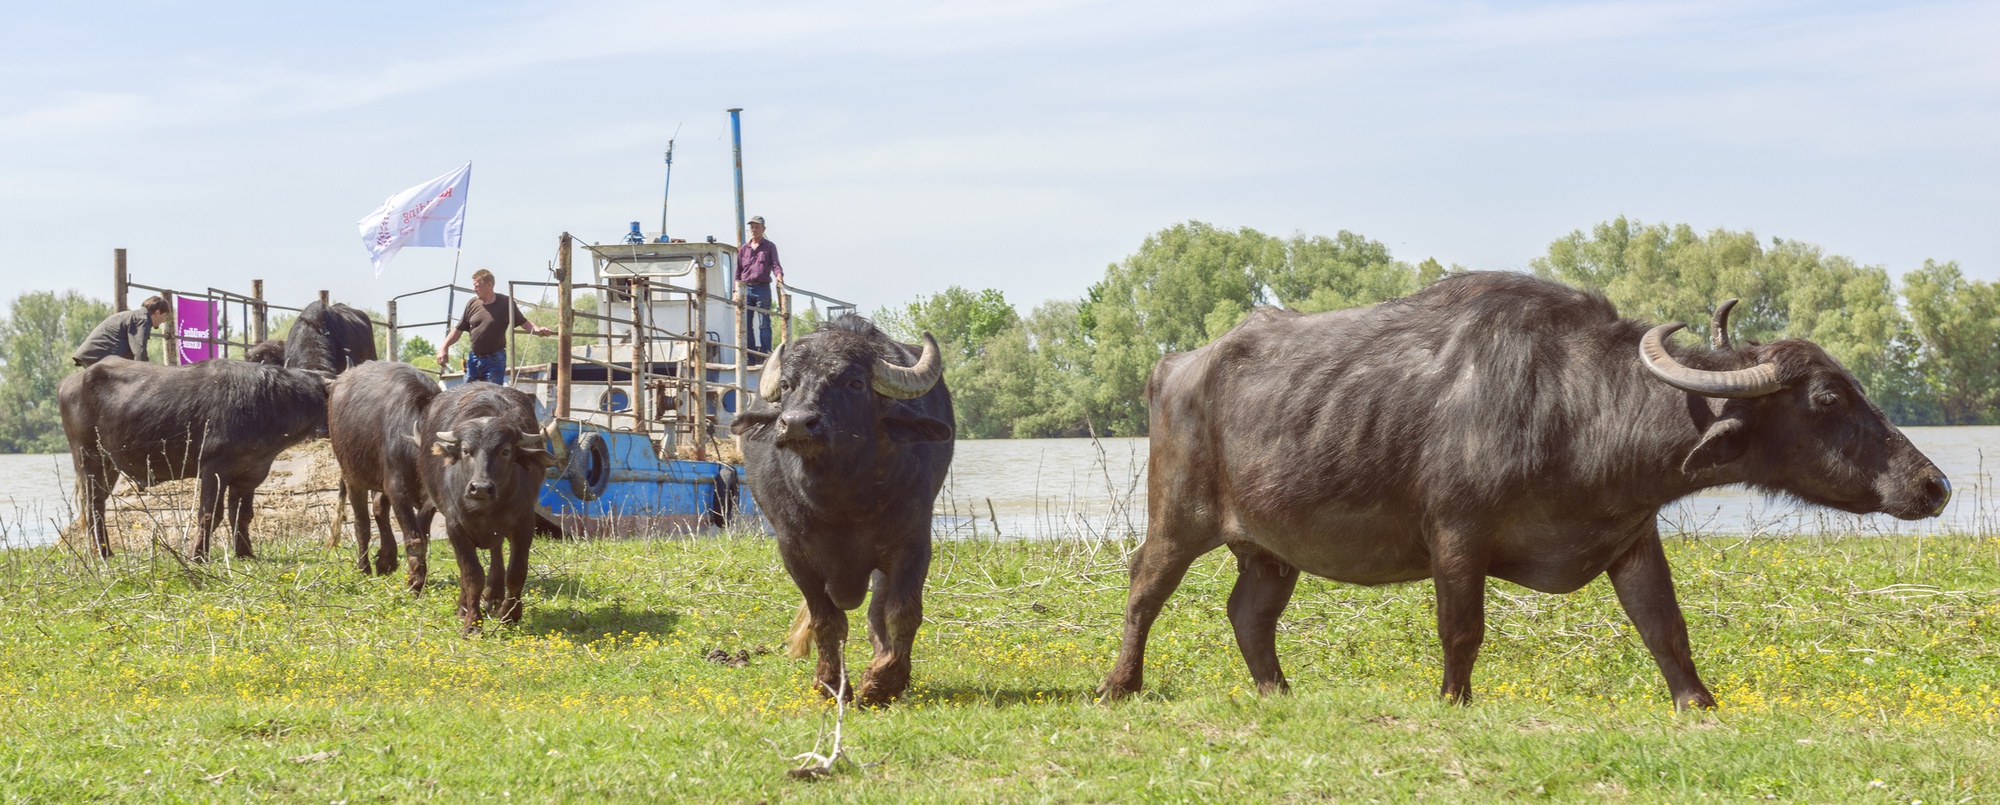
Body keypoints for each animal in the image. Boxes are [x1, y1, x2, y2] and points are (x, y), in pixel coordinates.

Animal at [60, 358, 332, 560]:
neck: (269, 401)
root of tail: (72, 380)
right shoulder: (214, 469)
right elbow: (209, 514)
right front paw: (198, 555)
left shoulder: (250, 474)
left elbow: (241, 515)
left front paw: (245, 553)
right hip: (88, 458)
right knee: (92, 505)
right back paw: (101, 553)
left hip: (110, 465)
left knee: (98, 504)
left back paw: (105, 550)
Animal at [330, 362, 440, 588]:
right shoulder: (397, 488)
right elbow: (414, 537)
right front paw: (416, 580)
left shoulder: (429, 499)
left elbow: (422, 533)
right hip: (352, 476)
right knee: (362, 522)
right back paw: (364, 568)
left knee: (379, 507)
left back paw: (386, 560)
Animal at [416, 384, 556, 636]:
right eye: (465, 450)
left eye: (506, 451)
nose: (480, 487)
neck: (485, 509)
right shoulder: (456, 529)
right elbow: (472, 575)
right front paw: (472, 622)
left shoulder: (524, 525)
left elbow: (516, 572)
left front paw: (510, 615)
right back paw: (464, 606)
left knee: (497, 553)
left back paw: (494, 597)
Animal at [732, 314, 956, 704]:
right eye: (788, 384)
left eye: (854, 382)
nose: (796, 423)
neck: (842, 502)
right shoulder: (794, 553)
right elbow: (827, 620)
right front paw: (830, 682)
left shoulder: (914, 544)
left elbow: (901, 612)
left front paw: (883, 680)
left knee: (877, 611)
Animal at [1096, 274, 1952, 708]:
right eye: (1828, 398)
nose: (1933, 482)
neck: (1578, 407)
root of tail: (1177, 366)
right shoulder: (1455, 535)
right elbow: (1461, 630)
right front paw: (1455, 701)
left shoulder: (1631, 537)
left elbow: (1665, 627)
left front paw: (1698, 703)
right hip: (1179, 516)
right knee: (1144, 588)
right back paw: (1118, 684)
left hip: (1271, 547)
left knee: (1250, 613)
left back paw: (1279, 691)